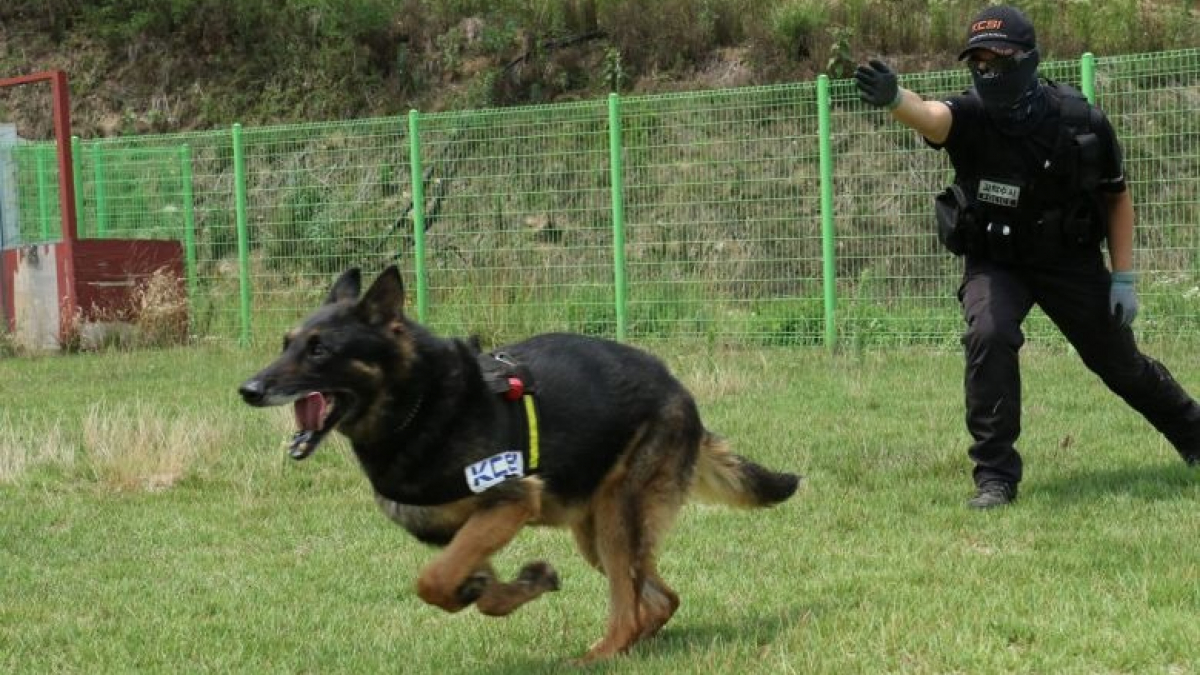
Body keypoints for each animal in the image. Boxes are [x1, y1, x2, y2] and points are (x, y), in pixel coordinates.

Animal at [235, 265, 801, 658]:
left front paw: (505, 587)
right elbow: (461, 584)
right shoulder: (460, 530)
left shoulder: (509, 503)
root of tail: (677, 386)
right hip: (596, 533)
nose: (249, 390)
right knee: (658, 600)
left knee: (630, 607)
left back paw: (597, 656)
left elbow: (431, 581)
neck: (419, 404)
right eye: (286, 344)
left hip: (617, 520)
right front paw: (516, 586)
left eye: (319, 351)